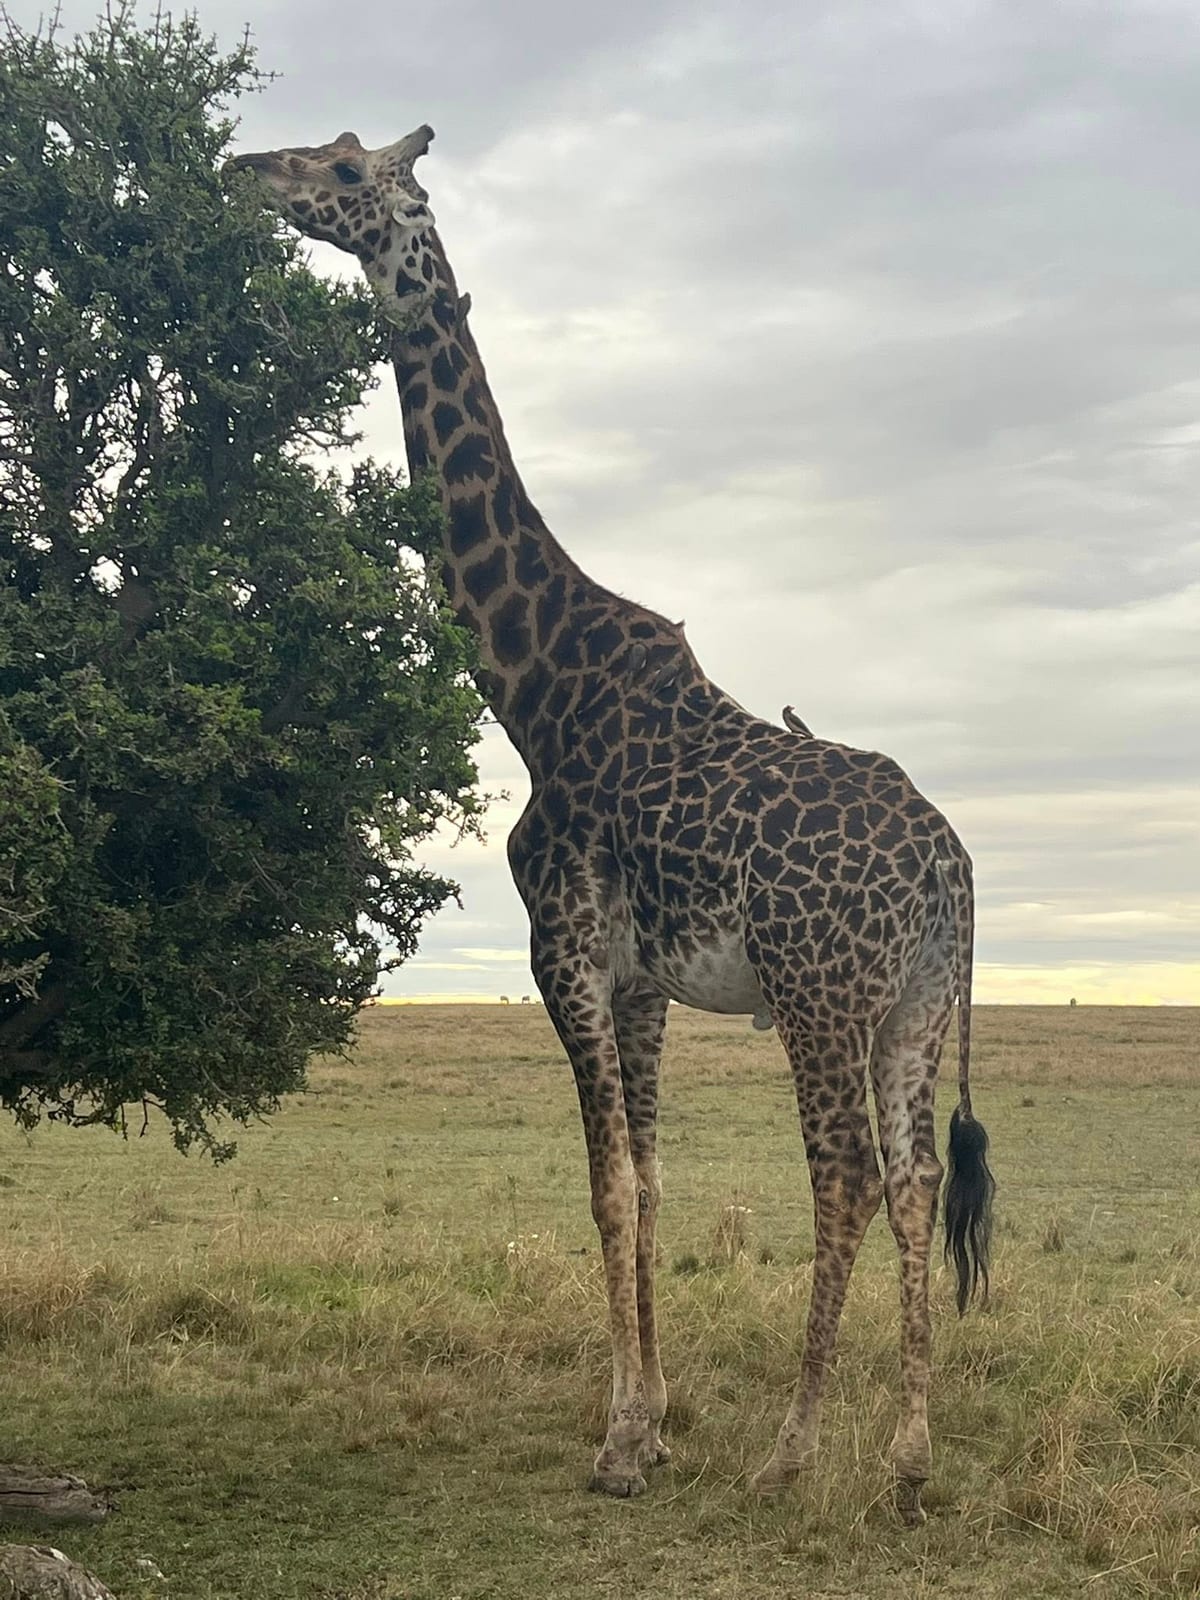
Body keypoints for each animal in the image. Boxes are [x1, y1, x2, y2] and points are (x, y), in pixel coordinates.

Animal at [227, 125, 995, 1525]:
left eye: (345, 169)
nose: (246, 168)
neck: (529, 685)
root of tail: (949, 869)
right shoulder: (642, 981)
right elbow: (651, 1182)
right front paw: (651, 1417)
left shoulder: (566, 953)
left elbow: (606, 1186)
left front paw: (627, 1443)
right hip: (915, 1005)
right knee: (916, 1181)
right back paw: (910, 1462)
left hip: (819, 992)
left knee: (849, 1176)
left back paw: (793, 1451)